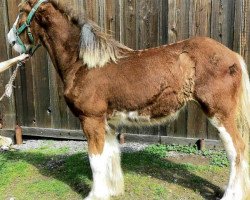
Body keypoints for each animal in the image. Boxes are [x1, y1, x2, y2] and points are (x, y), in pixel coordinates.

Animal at [6, 0, 250, 200]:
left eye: (21, 11)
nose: (10, 40)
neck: (83, 63)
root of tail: (234, 56)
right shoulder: (107, 123)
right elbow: (110, 156)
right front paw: (112, 191)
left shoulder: (91, 120)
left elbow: (95, 159)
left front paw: (96, 195)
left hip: (220, 114)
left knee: (236, 150)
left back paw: (231, 195)